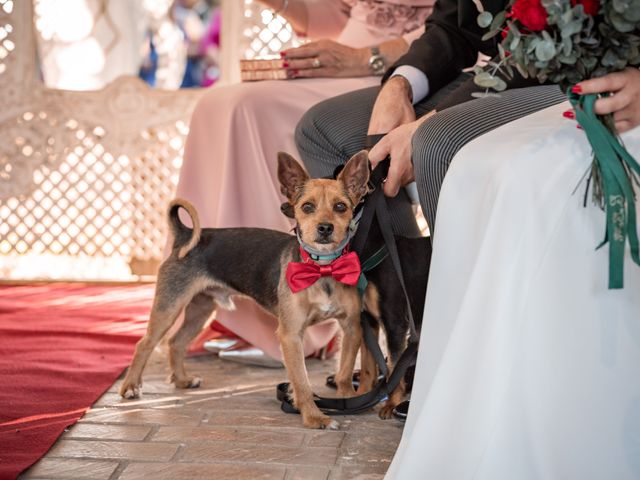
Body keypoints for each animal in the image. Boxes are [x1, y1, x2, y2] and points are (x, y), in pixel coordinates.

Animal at [119, 150, 376, 428]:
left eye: (341, 207)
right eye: (307, 207)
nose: (326, 228)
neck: (324, 269)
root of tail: (185, 234)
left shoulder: (351, 327)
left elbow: (343, 373)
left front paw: (348, 400)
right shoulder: (291, 334)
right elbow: (303, 383)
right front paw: (314, 417)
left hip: (200, 309)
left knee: (176, 342)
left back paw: (183, 380)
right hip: (169, 305)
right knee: (145, 344)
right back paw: (131, 387)